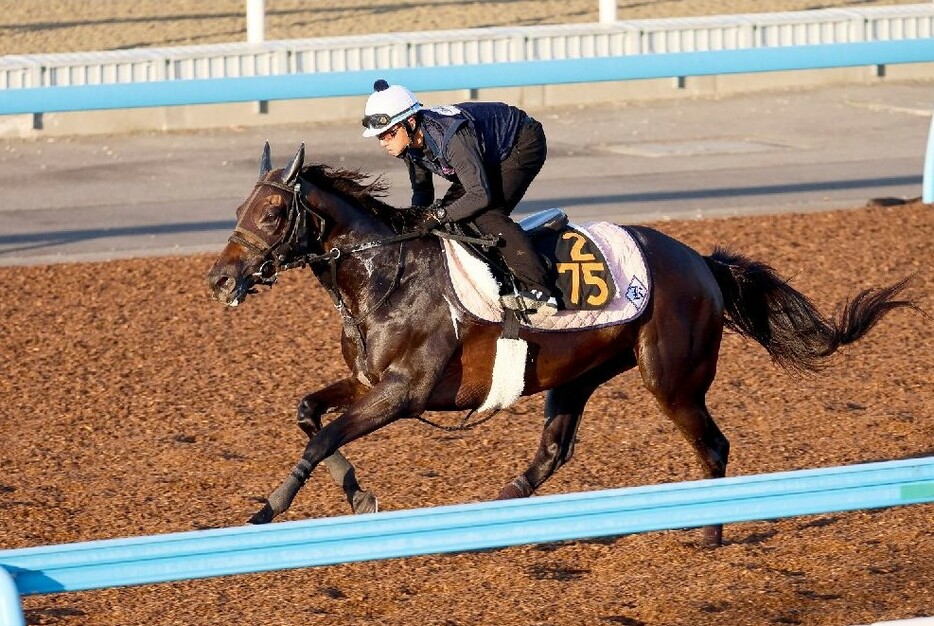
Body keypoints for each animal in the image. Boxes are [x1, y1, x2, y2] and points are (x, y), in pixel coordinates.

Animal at [205, 144, 916, 544]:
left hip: (672, 378)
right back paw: (493, 518)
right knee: (553, 452)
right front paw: (357, 495)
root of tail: (702, 263)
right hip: (576, 376)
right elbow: (309, 416)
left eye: (273, 212)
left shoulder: (404, 393)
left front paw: (266, 510)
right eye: (238, 208)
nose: (219, 279)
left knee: (713, 447)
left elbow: (322, 435)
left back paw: (710, 532)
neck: (389, 275)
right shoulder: (366, 382)